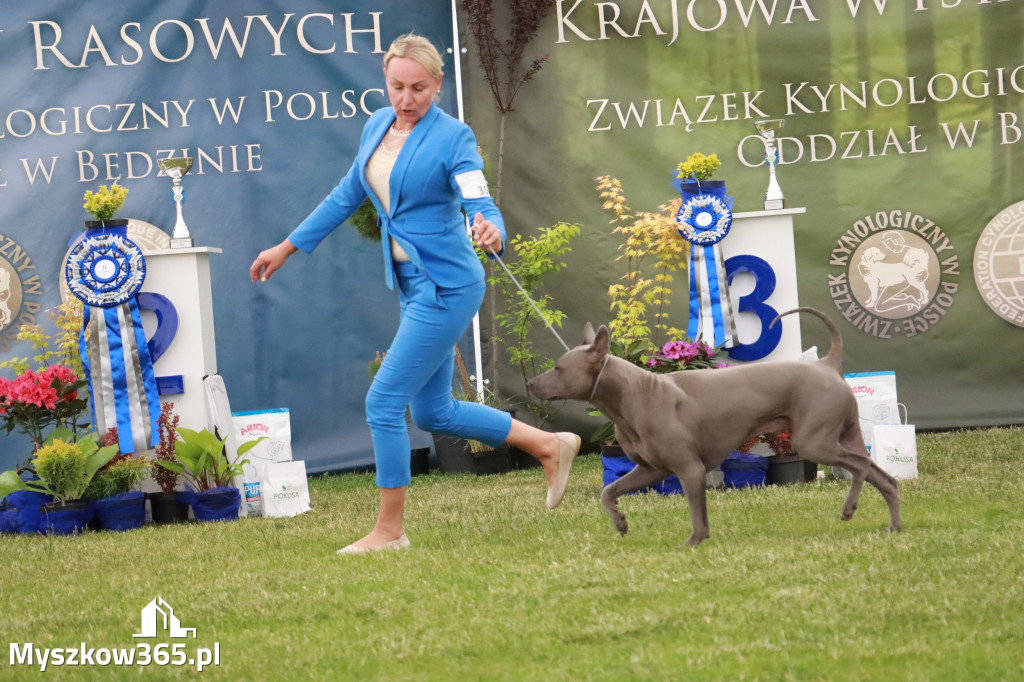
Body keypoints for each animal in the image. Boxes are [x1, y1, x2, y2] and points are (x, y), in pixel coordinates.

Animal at [528, 305, 905, 544]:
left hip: (815, 441)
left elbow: (697, 514)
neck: (635, 394)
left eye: (559, 368)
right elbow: (608, 492)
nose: (530, 384)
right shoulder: (650, 470)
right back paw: (894, 527)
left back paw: (849, 507)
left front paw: (694, 542)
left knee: (860, 466)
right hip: (846, 436)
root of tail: (827, 364)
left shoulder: (689, 469)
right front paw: (620, 522)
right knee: (883, 477)